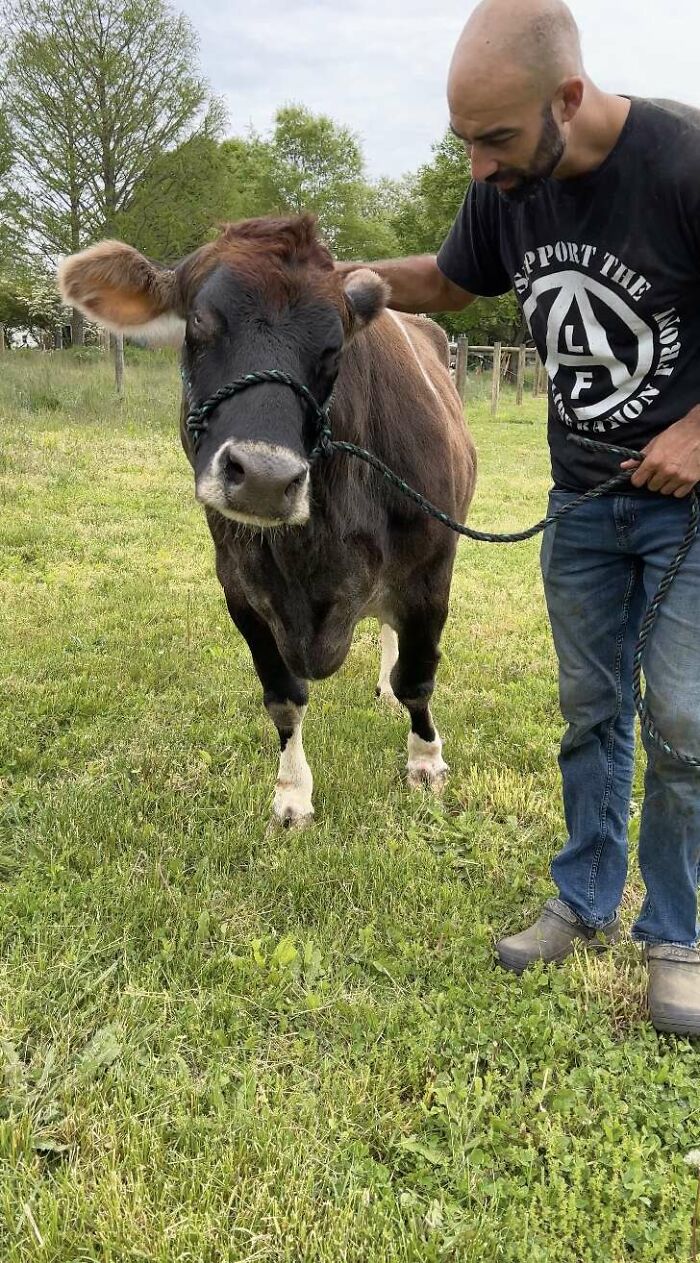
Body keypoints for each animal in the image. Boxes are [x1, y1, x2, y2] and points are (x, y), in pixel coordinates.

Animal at [58, 215, 476, 829]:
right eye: (200, 320)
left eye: (334, 346)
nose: (263, 476)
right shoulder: (240, 586)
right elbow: (283, 698)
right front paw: (292, 793)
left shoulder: (431, 568)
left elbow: (418, 680)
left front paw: (425, 762)